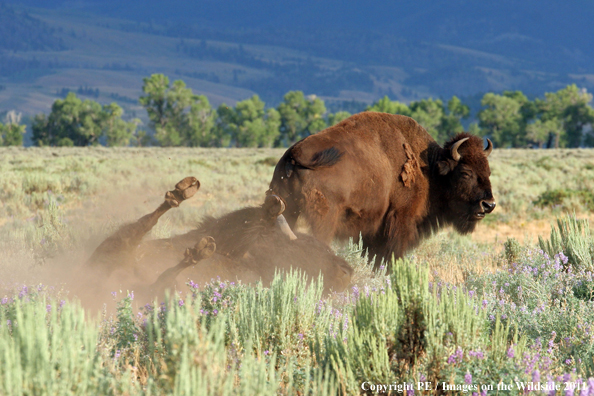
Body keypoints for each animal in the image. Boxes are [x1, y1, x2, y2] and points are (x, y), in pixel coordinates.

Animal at [82, 177, 352, 306]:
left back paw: (198, 252)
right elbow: (248, 220)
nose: (346, 270)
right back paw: (181, 194)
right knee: (143, 227)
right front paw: (272, 206)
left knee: (160, 275)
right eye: (310, 245)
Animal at [268, 111, 494, 270]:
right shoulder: (400, 220)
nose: (489, 204)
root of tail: (295, 153)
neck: (429, 169)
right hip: (323, 220)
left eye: (488, 170)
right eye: (465, 172)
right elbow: (392, 255)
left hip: (287, 209)